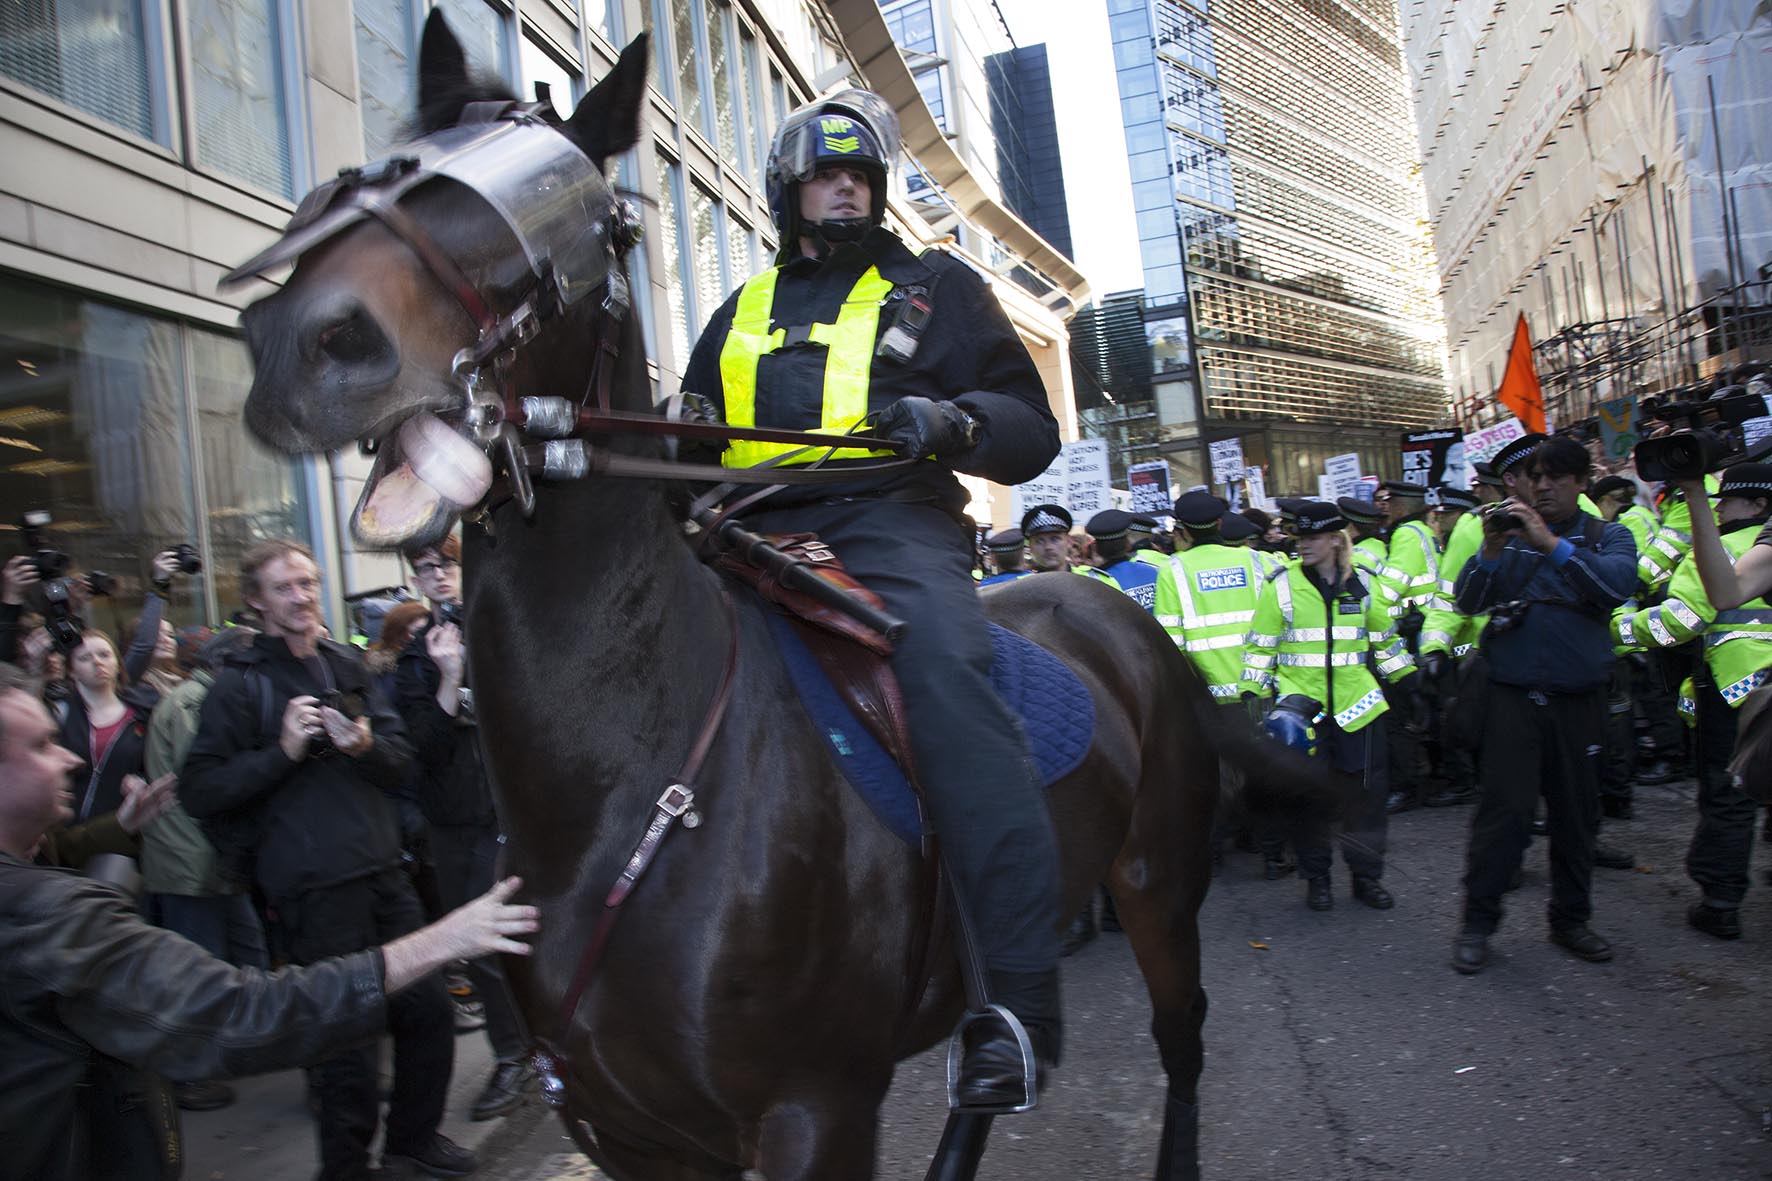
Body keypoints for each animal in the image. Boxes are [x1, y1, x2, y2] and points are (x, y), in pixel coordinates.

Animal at [225, 13, 1318, 1170]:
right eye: (383, 169)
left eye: (594, 218)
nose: (313, 342)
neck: (622, 782)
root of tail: (1118, 613)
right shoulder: (624, 1128)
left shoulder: (815, 1110)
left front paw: (932, 420)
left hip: (1156, 878)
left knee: (1180, 1034)